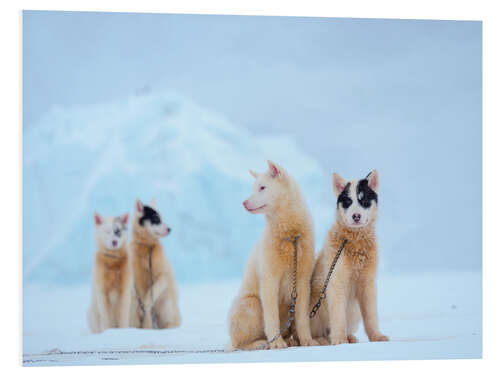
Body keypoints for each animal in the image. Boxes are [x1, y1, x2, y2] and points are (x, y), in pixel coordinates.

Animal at [129, 198, 182, 330]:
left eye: (162, 218)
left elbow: (151, 294)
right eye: (156, 219)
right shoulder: (136, 278)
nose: (169, 229)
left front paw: (145, 307)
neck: (146, 247)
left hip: (166, 304)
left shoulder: (162, 275)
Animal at [227, 162, 316, 352]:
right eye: (254, 187)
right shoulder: (269, 280)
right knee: (240, 344)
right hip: (251, 304)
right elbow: (271, 316)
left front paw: (307, 341)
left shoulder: (303, 280)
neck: (290, 235)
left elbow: (302, 317)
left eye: (262, 187)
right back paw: (262, 343)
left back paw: (290, 340)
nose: (244, 202)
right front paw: (276, 343)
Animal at [310, 170, 388, 346]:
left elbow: (371, 315)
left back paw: (350, 337)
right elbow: (338, 316)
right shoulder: (336, 281)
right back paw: (323, 339)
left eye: (363, 200)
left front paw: (376, 336)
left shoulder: (367, 283)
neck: (355, 241)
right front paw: (339, 339)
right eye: (348, 202)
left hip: (353, 311)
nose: (356, 216)